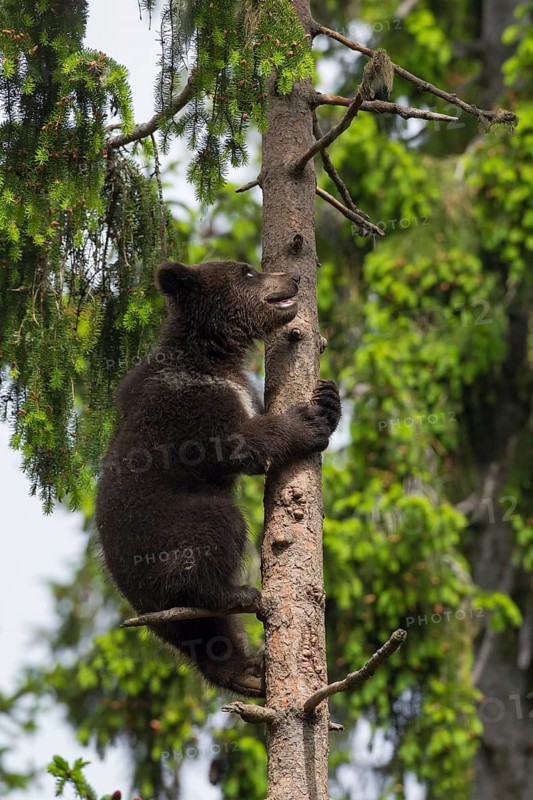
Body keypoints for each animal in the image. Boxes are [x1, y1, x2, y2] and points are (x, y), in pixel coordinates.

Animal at [96, 260, 341, 697]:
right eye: (247, 273)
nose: (294, 277)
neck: (213, 354)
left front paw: (328, 399)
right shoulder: (190, 405)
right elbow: (239, 443)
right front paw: (306, 422)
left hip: (171, 618)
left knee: (206, 635)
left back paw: (245, 670)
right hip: (164, 529)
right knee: (216, 528)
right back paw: (235, 592)